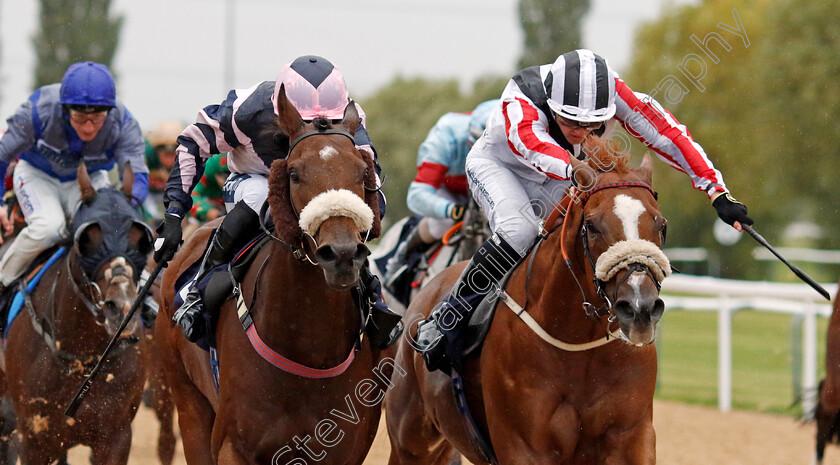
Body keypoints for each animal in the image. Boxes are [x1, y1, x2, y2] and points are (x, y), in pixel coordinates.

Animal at [0, 162, 154, 460]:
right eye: (88, 238)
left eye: (140, 239)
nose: (121, 307)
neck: (83, 357)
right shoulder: (33, 439)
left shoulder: (116, 438)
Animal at [158, 86, 390, 464]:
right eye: (294, 173)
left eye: (362, 173)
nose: (342, 254)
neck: (307, 347)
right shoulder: (234, 445)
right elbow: (200, 135)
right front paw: (170, 224)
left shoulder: (345, 447)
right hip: (189, 403)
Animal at [386, 140, 668, 464]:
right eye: (593, 226)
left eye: (661, 225)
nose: (639, 307)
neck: (576, 343)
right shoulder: (522, 446)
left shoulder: (632, 435)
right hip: (411, 441)